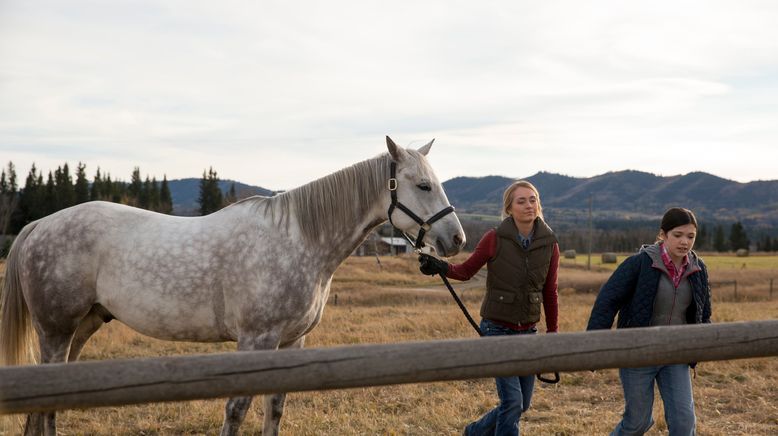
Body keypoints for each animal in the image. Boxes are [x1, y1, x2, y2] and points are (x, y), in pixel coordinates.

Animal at [0, 137, 464, 436]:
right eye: (422, 185)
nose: (456, 240)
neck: (299, 239)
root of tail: (40, 225)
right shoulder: (256, 339)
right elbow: (237, 408)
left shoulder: (290, 342)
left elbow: (275, 406)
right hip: (56, 330)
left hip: (83, 327)